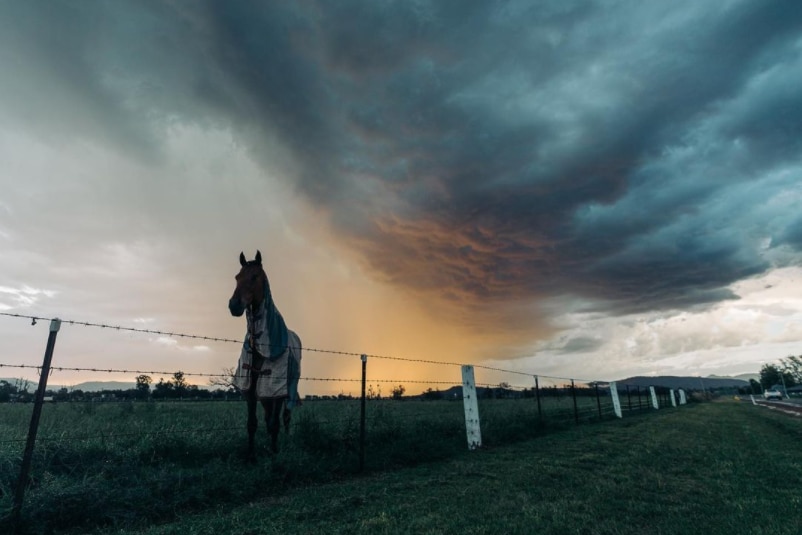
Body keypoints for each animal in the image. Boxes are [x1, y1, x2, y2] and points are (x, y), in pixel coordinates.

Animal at [227, 251, 302, 460]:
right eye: (237, 277)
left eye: (255, 276)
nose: (234, 305)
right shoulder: (252, 390)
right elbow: (252, 424)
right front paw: (251, 455)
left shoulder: (276, 390)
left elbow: (275, 423)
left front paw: (275, 451)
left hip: (289, 388)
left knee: (285, 416)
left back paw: (284, 440)